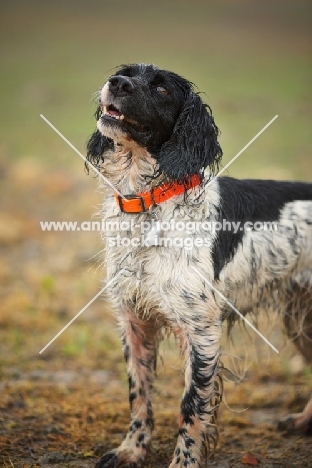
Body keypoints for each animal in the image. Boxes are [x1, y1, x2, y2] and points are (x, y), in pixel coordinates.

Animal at [86, 63, 312, 468]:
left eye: (161, 89)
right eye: (125, 72)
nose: (117, 84)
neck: (150, 201)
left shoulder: (202, 331)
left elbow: (191, 408)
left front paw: (183, 462)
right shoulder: (134, 321)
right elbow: (139, 396)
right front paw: (131, 450)